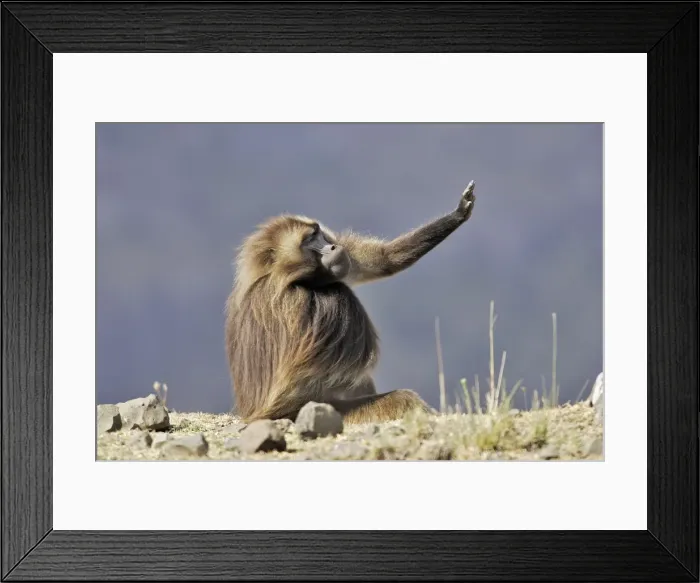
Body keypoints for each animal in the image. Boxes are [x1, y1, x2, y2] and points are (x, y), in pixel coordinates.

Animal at [225, 181, 476, 425]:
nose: (333, 247)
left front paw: (459, 212)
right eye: (308, 242)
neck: (290, 278)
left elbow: (384, 259)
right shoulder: (297, 303)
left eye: (317, 234)